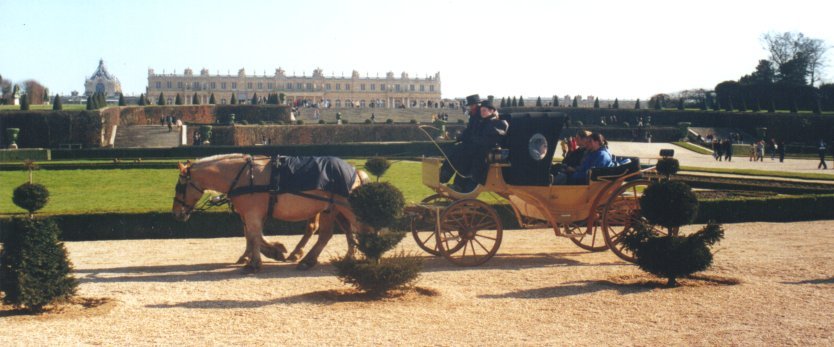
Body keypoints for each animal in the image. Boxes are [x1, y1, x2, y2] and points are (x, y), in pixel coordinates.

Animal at [171, 155, 368, 272]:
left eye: (179, 187)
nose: (176, 214)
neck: (244, 176)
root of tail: (355, 170)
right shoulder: (251, 214)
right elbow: (251, 235)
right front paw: (266, 252)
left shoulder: (252, 214)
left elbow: (254, 235)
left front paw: (257, 259)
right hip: (332, 210)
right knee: (333, 234)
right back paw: (323, 258)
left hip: (345, 208)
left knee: (359, 229)